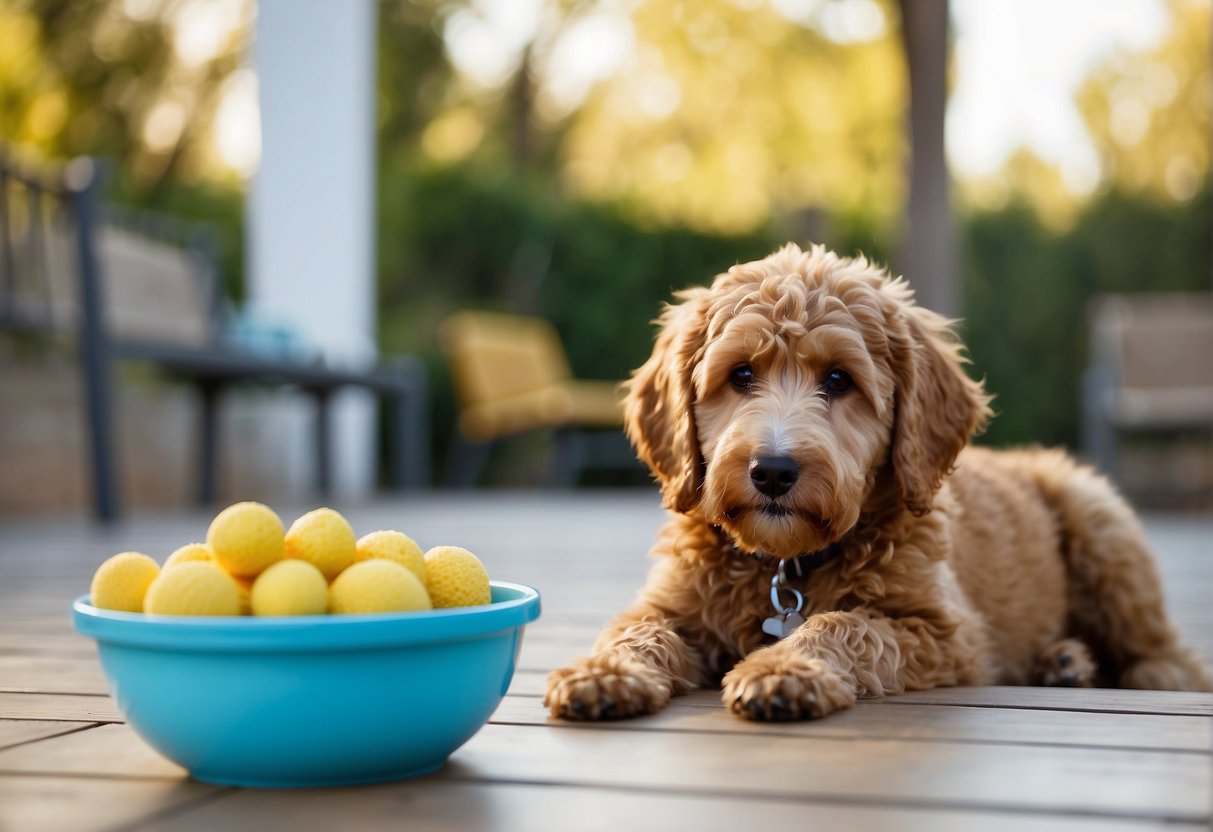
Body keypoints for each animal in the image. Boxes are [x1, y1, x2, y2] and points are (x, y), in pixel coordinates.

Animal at [545, 242, 1208, 722]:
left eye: (839, 380)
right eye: (741, 375)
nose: (773, 471)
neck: (786, 566)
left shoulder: (945, 632)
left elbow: (847, 625)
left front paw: (784, 668)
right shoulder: (668, 603)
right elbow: (636, 630)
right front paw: (603, 672)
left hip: (1102, 527)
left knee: (1166, 656)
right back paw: (1064, 660)